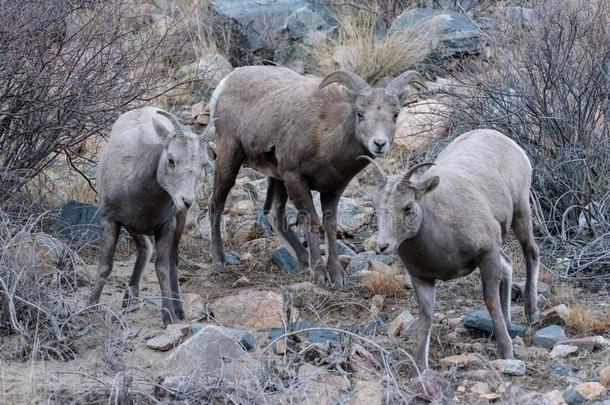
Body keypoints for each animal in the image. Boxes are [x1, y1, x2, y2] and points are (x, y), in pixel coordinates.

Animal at [88, 105, 211, 324]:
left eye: (204, 164)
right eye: (171, 159)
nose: (186, 201)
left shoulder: (166, 226)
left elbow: (163, 268)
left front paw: (168, 316)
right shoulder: (111, 220)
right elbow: (104, 266)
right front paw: (90, 306)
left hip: (175, 224)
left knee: (171, 261)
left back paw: (177, 309)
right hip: (133, 227)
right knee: (145, 248)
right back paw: (130, 300)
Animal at [208, 65, 422, 288]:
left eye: (395, 114)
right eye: (359, 113)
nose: (379, 144)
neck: (325, 136)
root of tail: (224, 84)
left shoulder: (333, 190)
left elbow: (330, 225)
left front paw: (336, 276)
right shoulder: (296, 179)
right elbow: (311, 220)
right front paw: (320, 274)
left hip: (277, 178)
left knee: (275, 214)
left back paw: (303, 259)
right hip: (230, 158)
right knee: (216, 204)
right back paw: (220, 258)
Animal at [366, 129, 536, 370]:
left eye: (408, 207)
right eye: (376, 207)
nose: (383, 246)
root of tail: (503, 139)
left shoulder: (487, 254)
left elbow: (490, 301)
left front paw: (506, 351)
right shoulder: (421, 277)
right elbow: (426, 316)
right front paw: (420, 366)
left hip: (521, 212)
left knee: (531, 253)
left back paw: (532, 313)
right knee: (508, 265)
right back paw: (509, 322)